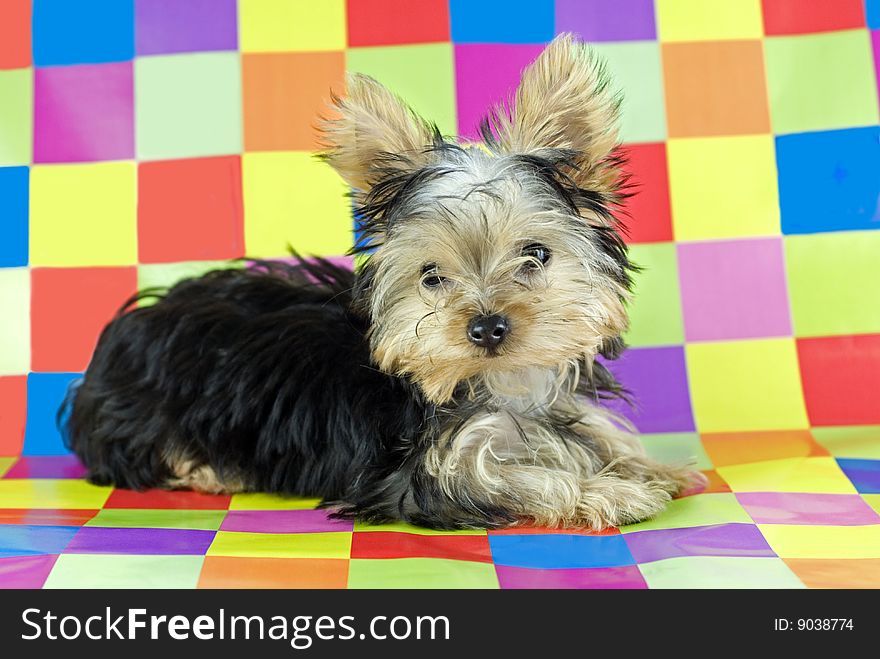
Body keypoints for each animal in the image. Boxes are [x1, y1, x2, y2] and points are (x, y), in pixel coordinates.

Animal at [63, 34, 700, 532]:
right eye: (432, 277)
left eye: (536, 255)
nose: (487, 328)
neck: (499, 384)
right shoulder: (416, 475)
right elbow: (507, 477)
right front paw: (608, 490)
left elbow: (595, 431)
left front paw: (649, 465)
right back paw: (209, 470)